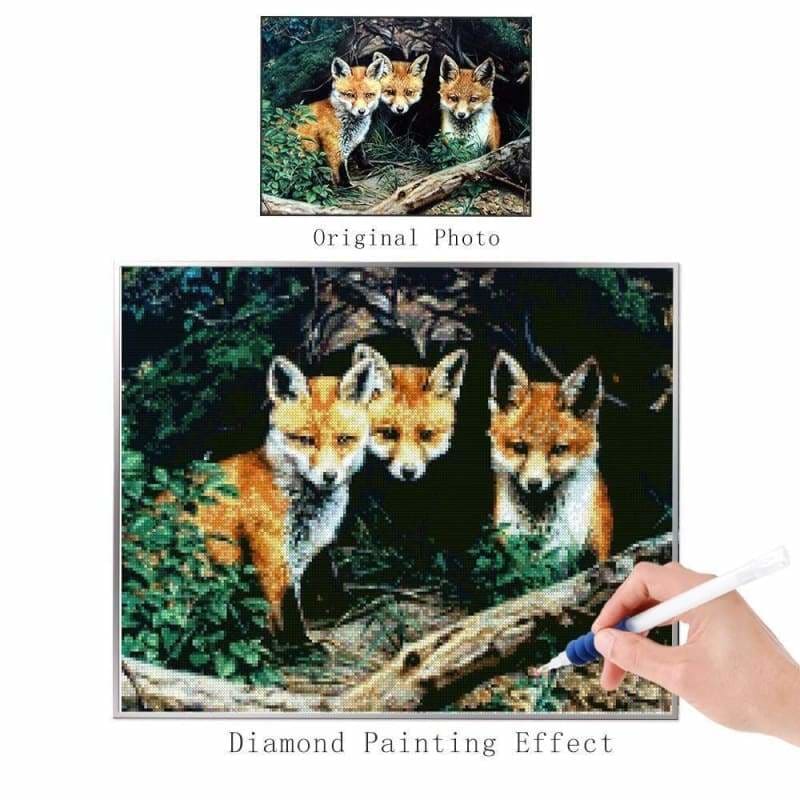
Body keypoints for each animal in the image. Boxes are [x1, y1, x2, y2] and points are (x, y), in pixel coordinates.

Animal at [193, 355, 377, 639]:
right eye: (306, 440)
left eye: (344, 439)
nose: (329, 476)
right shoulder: (271, 553)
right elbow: (286, 608)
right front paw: (300, 645)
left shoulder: (306, 552)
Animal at [295, 54, 389, 187]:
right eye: (350, 95)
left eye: (368, 95)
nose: (361, 111)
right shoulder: (334, 148)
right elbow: (340, 172)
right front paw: (347, 187)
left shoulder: (356, 141)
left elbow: (361, 156)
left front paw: (369, 168)